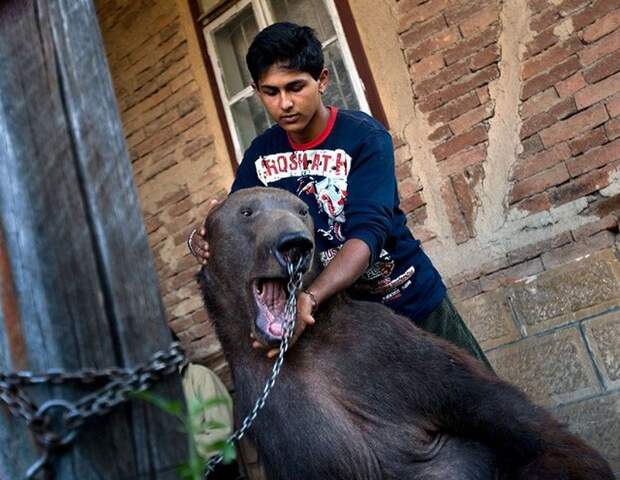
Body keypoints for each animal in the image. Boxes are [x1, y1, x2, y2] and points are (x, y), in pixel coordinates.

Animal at [197, 186, 612, 478]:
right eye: (247, 212)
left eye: (300, 212)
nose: (294, 243)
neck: (300, 346)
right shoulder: (273, 418)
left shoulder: (390, 352)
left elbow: (528, 429)